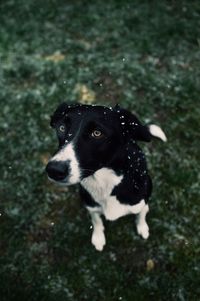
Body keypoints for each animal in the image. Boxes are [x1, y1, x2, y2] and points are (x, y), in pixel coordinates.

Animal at [46, 103, 166, 251]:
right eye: (62, 127)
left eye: (97, 133)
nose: (54, 170)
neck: (105, 182)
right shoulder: (91, 205)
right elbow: (96, 220)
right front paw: (98, 237)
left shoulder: (140, 202)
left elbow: (141, 214)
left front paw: (142, 227)